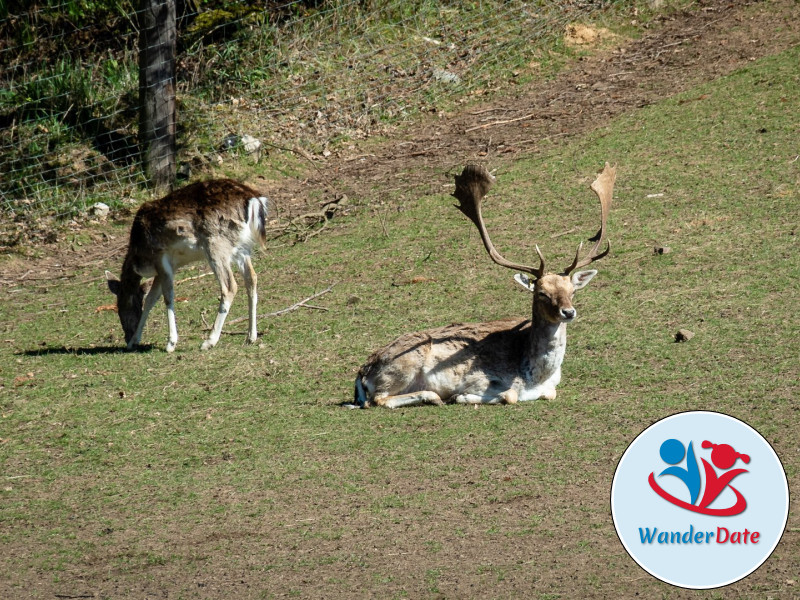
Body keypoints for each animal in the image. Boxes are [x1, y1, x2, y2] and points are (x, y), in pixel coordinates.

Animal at [106, 178, 270, 352]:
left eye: (120, 307)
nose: (126, 336)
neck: (138, 256)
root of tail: (253, 199)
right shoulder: (165, 268)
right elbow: (151, 298)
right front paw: (134, 341)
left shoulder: (160, 258)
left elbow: (168, 297)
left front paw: (170, 343)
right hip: (241, 247)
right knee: (252, 278)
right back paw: (251, 336)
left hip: (215, 244)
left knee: (230, 286)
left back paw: (209, 341)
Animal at [354, 163, 616, 408]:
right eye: (542, 293)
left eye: (572, 291)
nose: (568, 312)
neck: (536, 376)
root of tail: (362, 371)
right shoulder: (480, 377)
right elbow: (509, 395)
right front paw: (459, 396)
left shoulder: (550, 387)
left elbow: (550, 393)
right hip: (405, 364)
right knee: (378, 399)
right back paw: (434, 396)